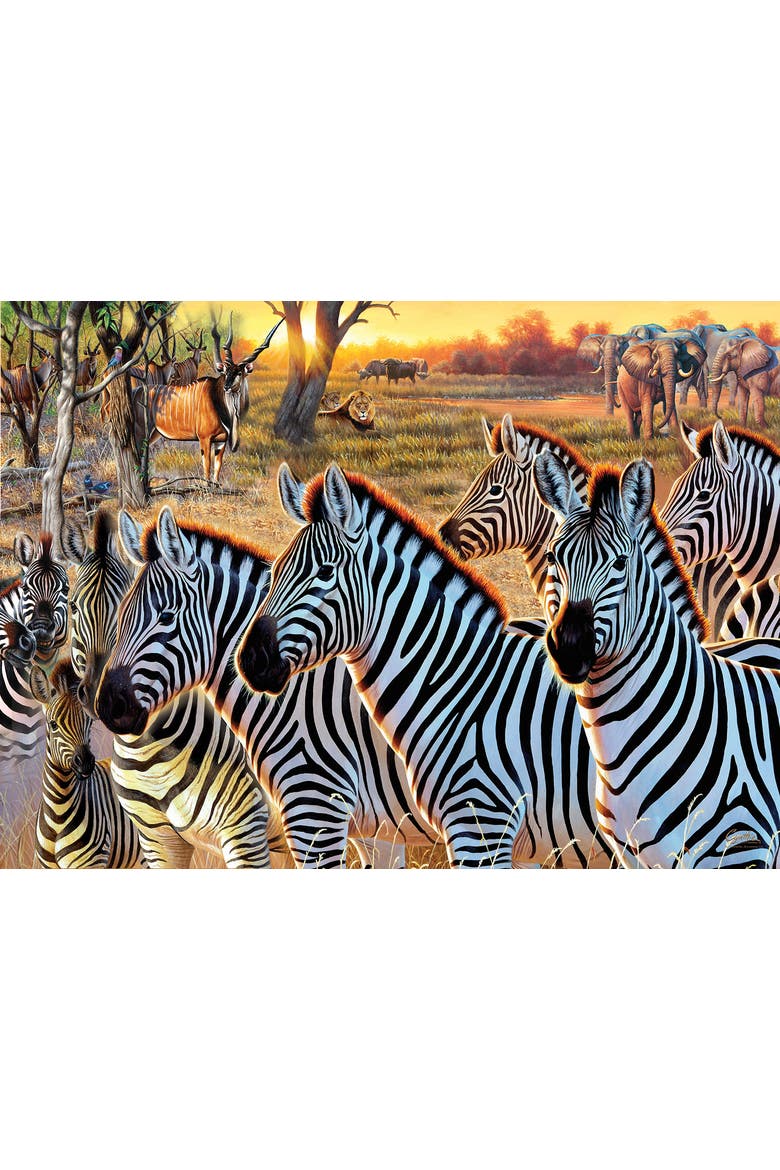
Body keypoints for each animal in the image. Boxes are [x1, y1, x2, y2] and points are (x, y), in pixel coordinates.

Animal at [62, 511, 285, 869]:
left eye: (121, 608)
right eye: (72, 607)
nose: (103, 699)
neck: (151, 758)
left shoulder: (245, 831)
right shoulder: (157, 839)